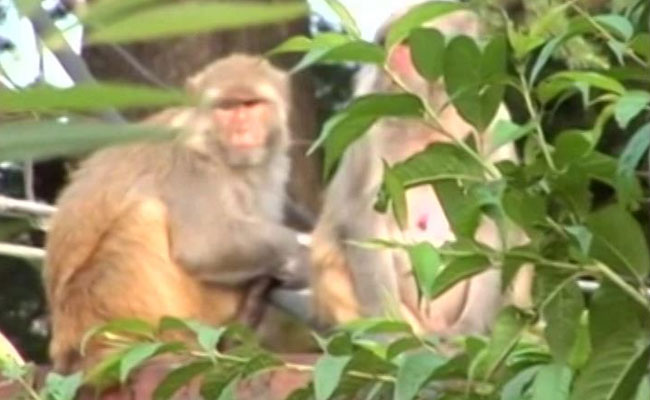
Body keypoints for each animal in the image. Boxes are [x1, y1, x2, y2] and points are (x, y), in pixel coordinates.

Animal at [43, 54, 310, 372]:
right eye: (226, 107)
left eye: (251, 104)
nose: (242, 130)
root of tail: (65, 350)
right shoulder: (191, 164)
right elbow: (205, 246)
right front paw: (302, 259)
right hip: (101, 310)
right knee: (145, 213)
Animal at [310, 8, 534, 336]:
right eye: (383, 42)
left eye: (404, 44)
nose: (385, 60)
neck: (430, 117)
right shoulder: (368, 125)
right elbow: (361, 216)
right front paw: (388, 327)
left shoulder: (494, 128)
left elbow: (498, 220)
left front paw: (471, 327)